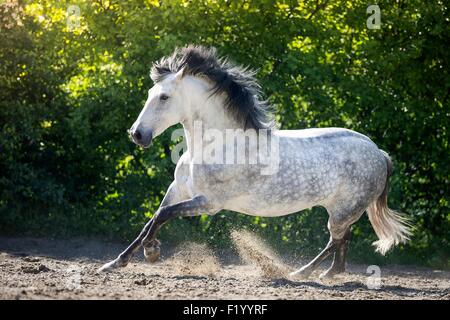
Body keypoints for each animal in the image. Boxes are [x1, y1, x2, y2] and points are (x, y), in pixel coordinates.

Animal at [98, 45, 412, 278]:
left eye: (164, 97)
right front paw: (114, 263)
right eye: (150, 94)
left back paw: (301, 273)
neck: (216, 145)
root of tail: (379, 153)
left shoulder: (209, 203)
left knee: (336, 240)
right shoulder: (178, 190)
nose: (137, 135)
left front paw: (151, 252)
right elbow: (152, 219)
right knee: (341, 242)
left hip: (343, 210)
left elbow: (163, 216)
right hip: (342, 211)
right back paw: (323, 274)